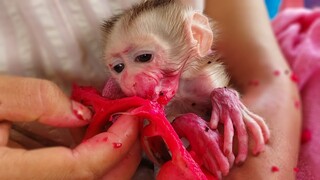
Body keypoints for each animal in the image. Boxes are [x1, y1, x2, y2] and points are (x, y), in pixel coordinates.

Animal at [102, 0, 270, 177]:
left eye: (144, 57)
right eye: (119, 67)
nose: (129, 82)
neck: (182, 89)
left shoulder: (205, 77)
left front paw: (226, 102)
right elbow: (158, 126)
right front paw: (197, 129)